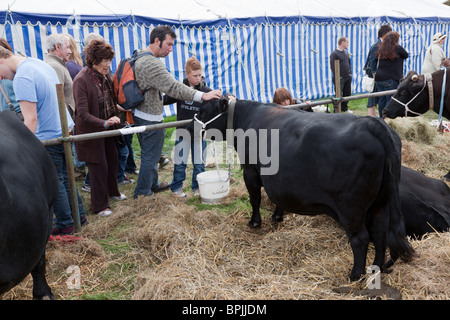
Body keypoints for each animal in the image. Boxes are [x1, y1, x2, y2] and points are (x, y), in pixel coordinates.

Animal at [190, 99, 414, 280]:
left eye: (203, 111)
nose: (191, 127)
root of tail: (372, 124)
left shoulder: (250, 171)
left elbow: (255, 199)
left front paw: (254, 222)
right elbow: (277, 197)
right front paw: (277, 216)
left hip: (351, 206)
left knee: (361, 238)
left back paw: (354, 275)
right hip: (382, 201)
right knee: (380, 233)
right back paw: (376, 269)